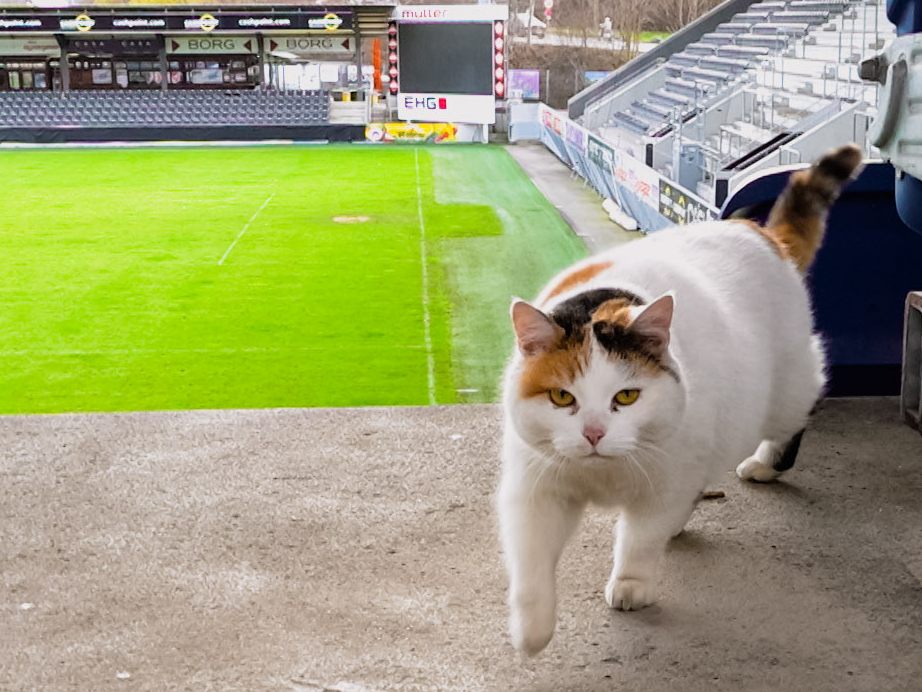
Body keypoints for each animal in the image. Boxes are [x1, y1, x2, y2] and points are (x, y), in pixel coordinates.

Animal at [496, 145, 864, 656]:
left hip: (784, 389)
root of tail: (760, 233)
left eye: (627, 395)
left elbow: (640, 539)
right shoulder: (534, 487)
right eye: (561, 396)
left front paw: (632, 583)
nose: (593, 434)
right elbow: (530, 561)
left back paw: (766, 463)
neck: (604, 474)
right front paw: (531, 629)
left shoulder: (664, 482)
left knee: (801, 409)